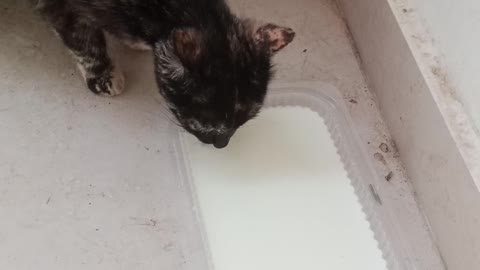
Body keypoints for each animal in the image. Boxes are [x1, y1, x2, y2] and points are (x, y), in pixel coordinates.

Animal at [37, 0, 294, 148]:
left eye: (245, 120)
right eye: (203, 122)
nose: (222, 144)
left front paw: (135, 41)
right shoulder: (62, 7)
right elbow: (82, 38)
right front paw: (102, 74)